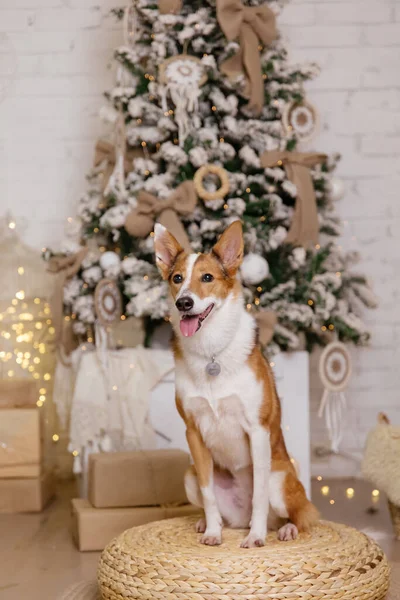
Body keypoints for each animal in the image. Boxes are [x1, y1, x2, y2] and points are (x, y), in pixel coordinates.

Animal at [154, 220, 318, 548]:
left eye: (207, 277)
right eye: (177, 278)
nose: (184, 302)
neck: (211, 353)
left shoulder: (257, 430)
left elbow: (259, 495)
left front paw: (255, 537)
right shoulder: (193, 433)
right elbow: (209, 495)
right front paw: (213, 532)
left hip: (280, 478)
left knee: (297, 514)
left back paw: (283, 529)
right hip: (189, 475)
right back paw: (208, 523)